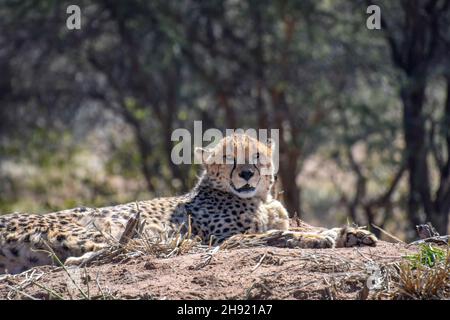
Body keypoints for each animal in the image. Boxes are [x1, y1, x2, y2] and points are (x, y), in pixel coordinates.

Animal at [0, 134, 376, 274]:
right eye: (228, 158)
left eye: (256, 157)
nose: (246, 174)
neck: (260, 199)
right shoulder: (222, 238)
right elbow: (268, 236)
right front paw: (317, 238)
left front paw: (353, 233)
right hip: (87, 229)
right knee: (90, 255)